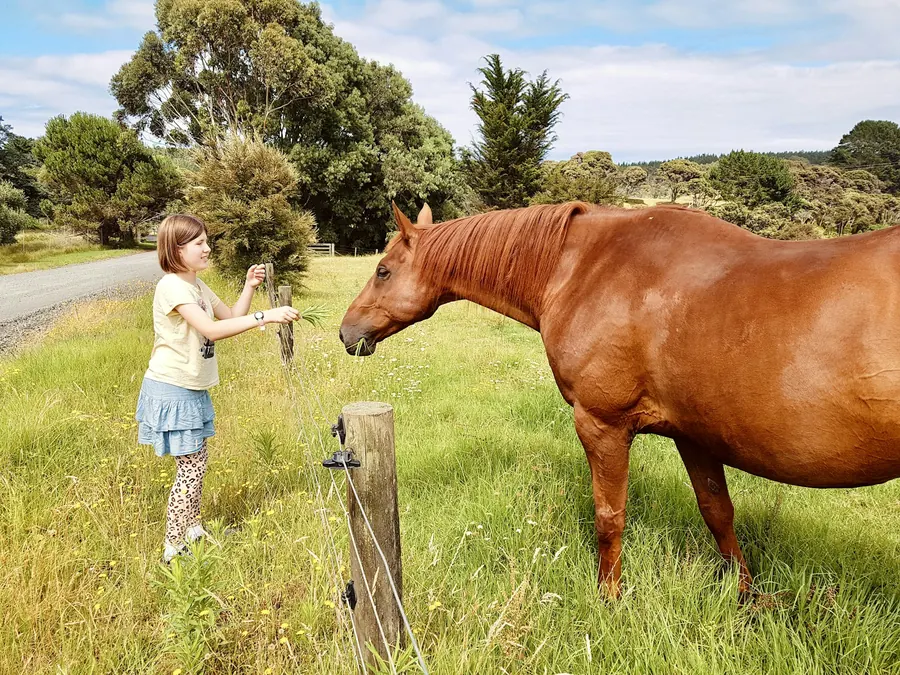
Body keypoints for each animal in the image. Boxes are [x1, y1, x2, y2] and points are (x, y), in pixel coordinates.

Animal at [339, 200, 900, 598]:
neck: (583, 268)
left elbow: (609, 516)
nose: (346, 332)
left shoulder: (601, 424)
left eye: (383, 270)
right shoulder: (694, 436)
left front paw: (610, 596)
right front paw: (745, 596)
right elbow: (718, 512)